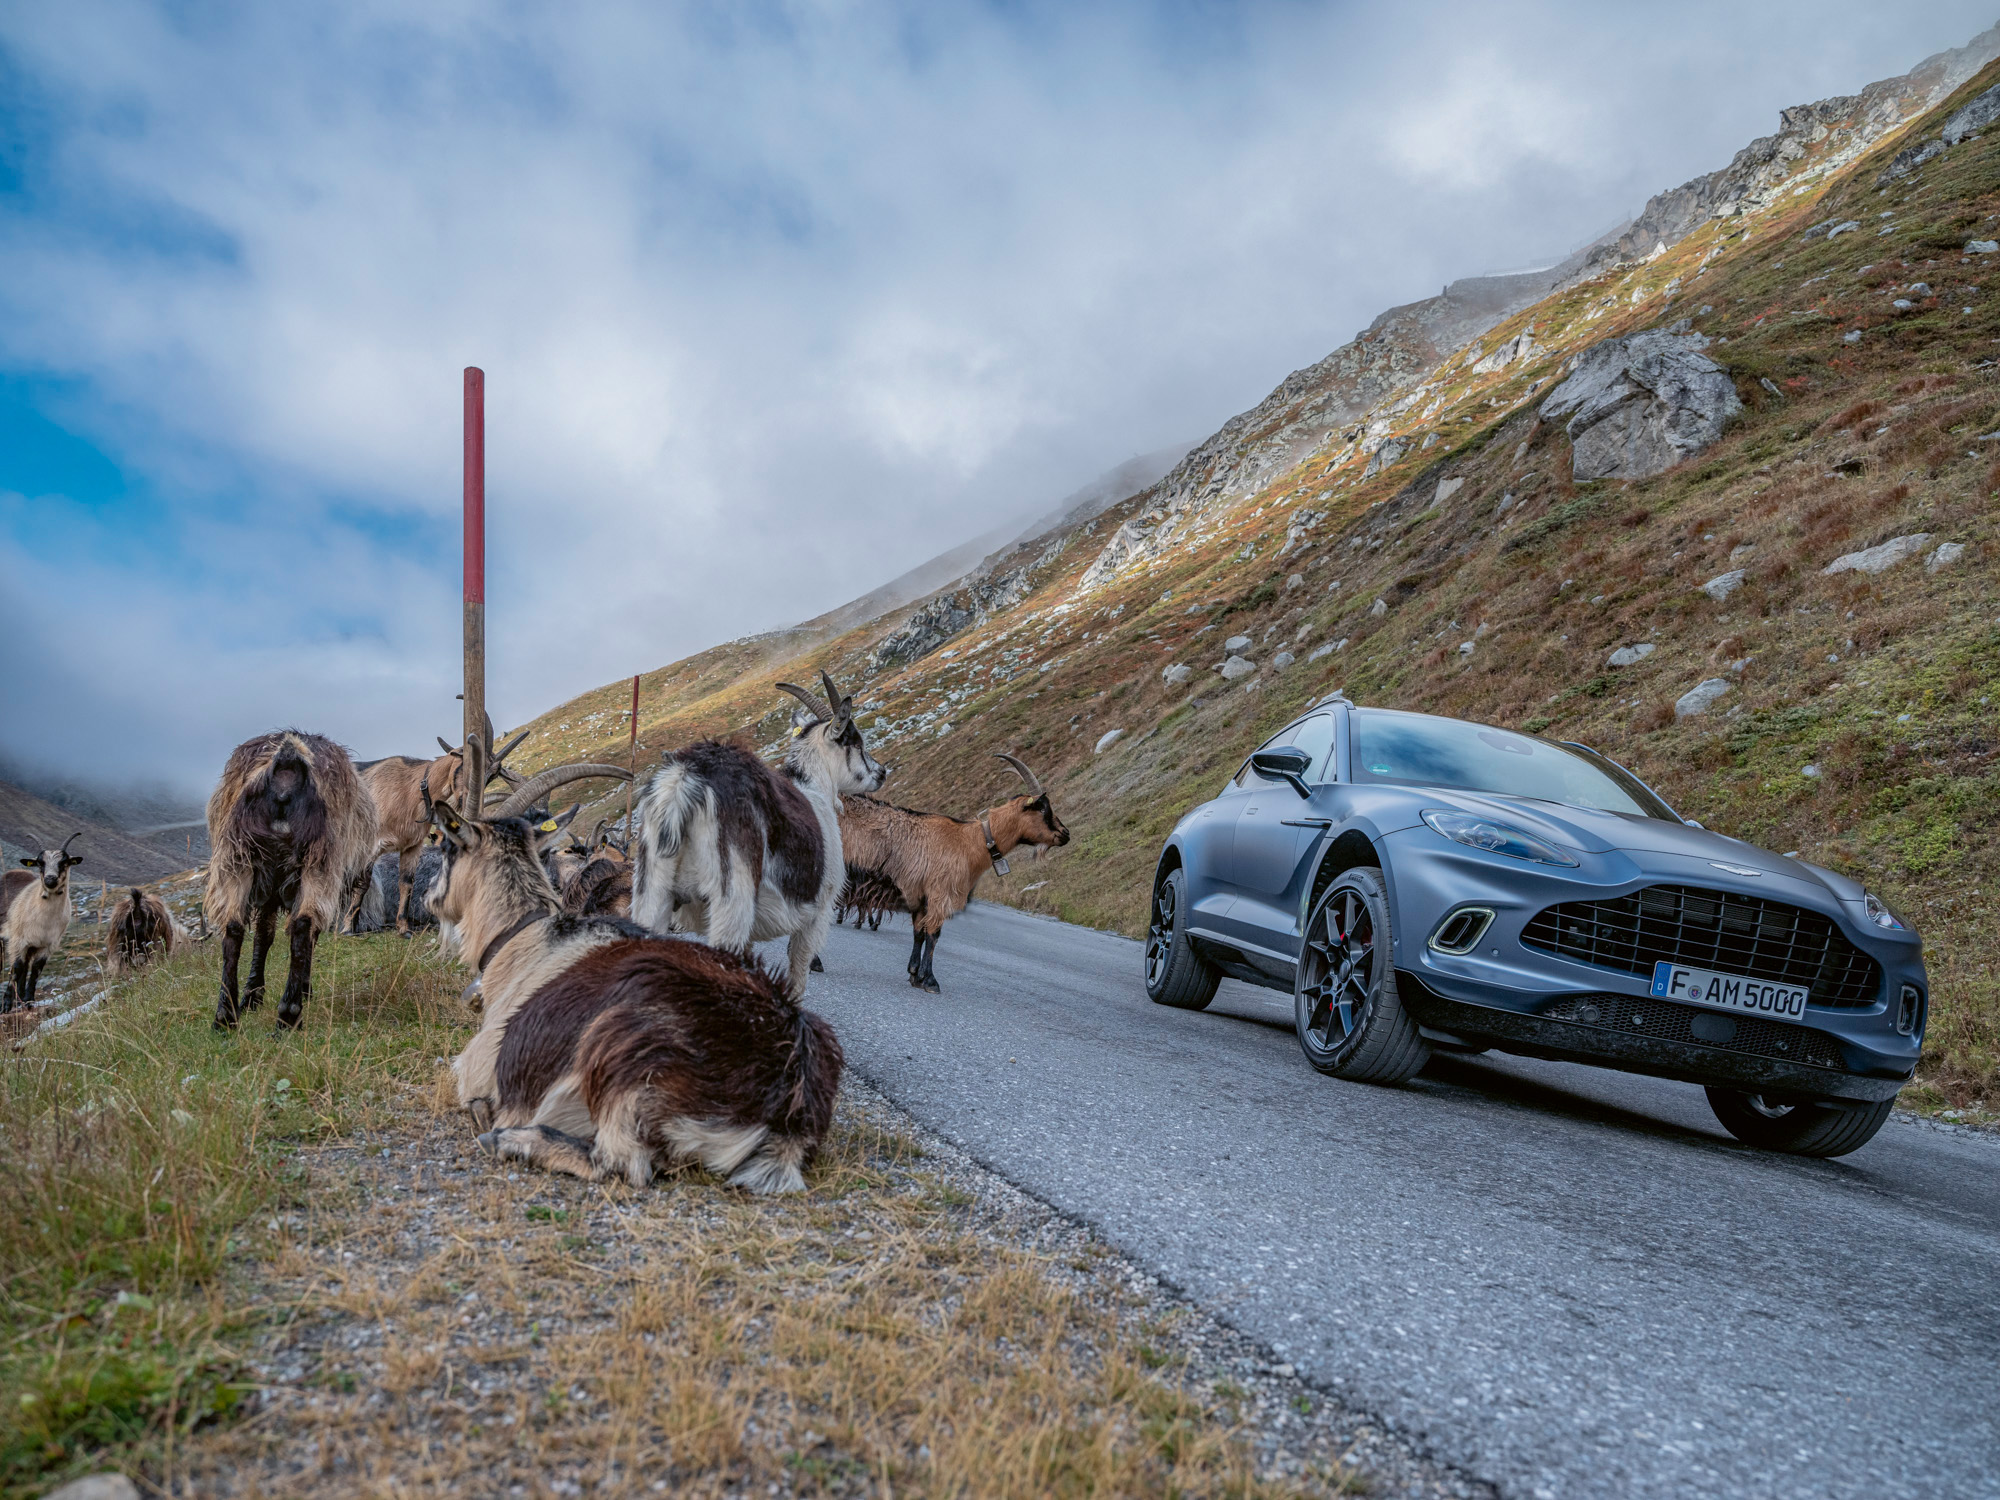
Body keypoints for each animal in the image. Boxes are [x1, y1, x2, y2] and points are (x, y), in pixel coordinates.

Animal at [2, 834, 82, 1011]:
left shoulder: (47, 945)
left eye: (64, 862)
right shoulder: (17, 940)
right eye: (40, 862)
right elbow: (16, 969)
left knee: (26, 968)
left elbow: (36, 970)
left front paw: (29, 1001)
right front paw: (5, 1006)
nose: (50, 879)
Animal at [205, 730, 379, 1030]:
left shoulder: (269, 884)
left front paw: (252, 995)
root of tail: (286, 765)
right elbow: (296, 933)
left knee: (233, 927)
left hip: (237, 857)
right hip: (317, 859)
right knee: (303, 924)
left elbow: (263, 935)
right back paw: (289, 1013)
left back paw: (225, 1016)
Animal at [427, 798, 842, 1193]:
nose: (430, 897)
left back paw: (509, 1140)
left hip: (620, 1059)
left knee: (621, 1163)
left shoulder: (480, 1064)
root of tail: (790, 1110)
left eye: (447, 848)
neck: (526, 937)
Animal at [630, 670, 886, 1000]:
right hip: (731, 899)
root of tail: (686, 778)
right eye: (855, 742)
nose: (881, 773)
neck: (813, 786)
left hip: (651, 892)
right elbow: (798, 974)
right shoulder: (817, 914)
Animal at [840, 753, 1069, 993]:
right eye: (1042, 809)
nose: (1065, 834)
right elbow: (933, 934)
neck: (970, 841)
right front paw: (930, 980)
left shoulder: (922, 897)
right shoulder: (940, 894)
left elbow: (919, 933)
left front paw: (914, 974)